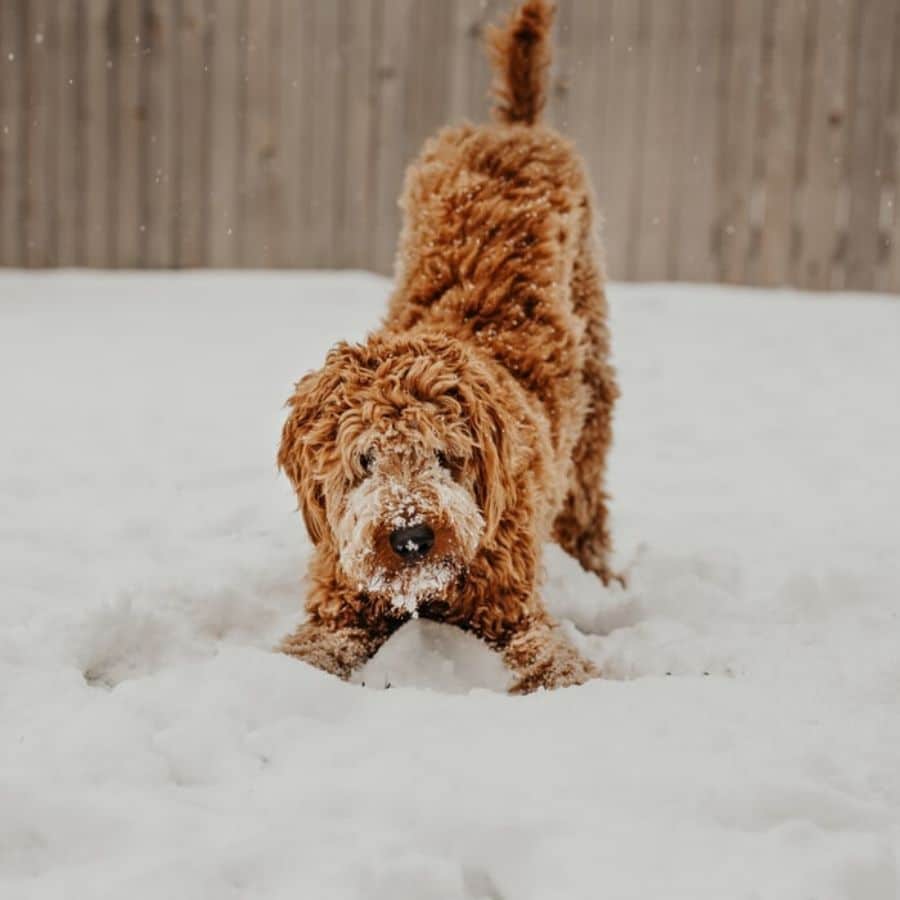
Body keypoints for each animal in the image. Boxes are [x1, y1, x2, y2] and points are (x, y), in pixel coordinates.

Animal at [280, 0, 620, 696]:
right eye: (364, 460)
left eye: (445, 455)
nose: (411, 536)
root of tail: (512, 127)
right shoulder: (341, 598)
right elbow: (311, 648)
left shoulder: (512, 605)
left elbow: (551, 660)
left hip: (594, 376)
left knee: (587, 494)